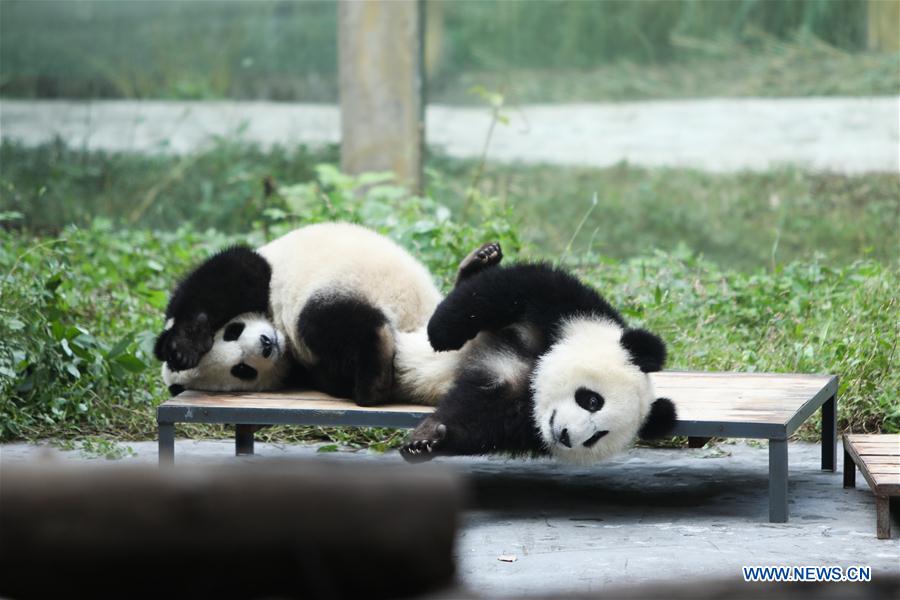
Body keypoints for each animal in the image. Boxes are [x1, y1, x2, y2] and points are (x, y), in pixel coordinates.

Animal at [155, 223, 442, 406]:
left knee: (320, 322)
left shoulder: (261, 273)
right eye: (242, 370)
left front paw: (182, 347)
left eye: (232, 332)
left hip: (348, 283)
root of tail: (414, 320)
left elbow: (229, 276)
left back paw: (372, 381)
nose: (266, 344)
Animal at [398, 262, 680, 464]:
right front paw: (441, 334)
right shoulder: (571, 312)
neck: (533, 377)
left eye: (597, 436)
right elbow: (513, 288)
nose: (566, 436)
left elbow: (479, 425)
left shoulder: (519, 421)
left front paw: (428, 440)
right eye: (592, 401)